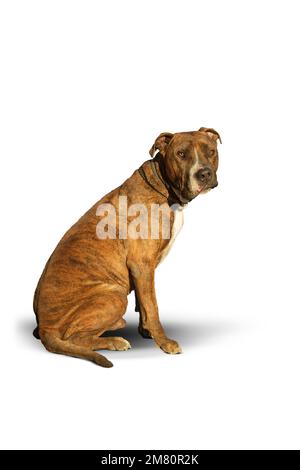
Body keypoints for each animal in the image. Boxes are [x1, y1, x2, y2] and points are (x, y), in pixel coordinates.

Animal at [33, 127, 220, 368]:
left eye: (211, 151)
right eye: (180, 154)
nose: (204, 174)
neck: (164, 187)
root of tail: (45, 327)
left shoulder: (142, 271)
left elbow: (144, 304)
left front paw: (147, 332)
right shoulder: (142, 264)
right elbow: (153, 306)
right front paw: (164, 342)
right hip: (114, 296)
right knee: (76, 339)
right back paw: (114, 341)